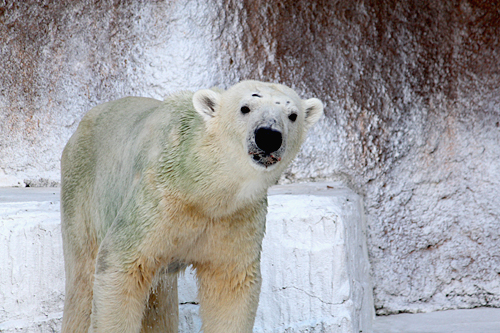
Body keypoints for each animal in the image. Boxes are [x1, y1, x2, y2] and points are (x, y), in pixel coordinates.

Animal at [60, 81, 322, 332]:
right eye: (245, 108)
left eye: (292, 115)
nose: (268, 136)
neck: (202, 187)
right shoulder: (156, 200)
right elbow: (122, 264)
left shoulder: (236, 216)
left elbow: (230, 284)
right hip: (83, 192)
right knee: (82, 281)